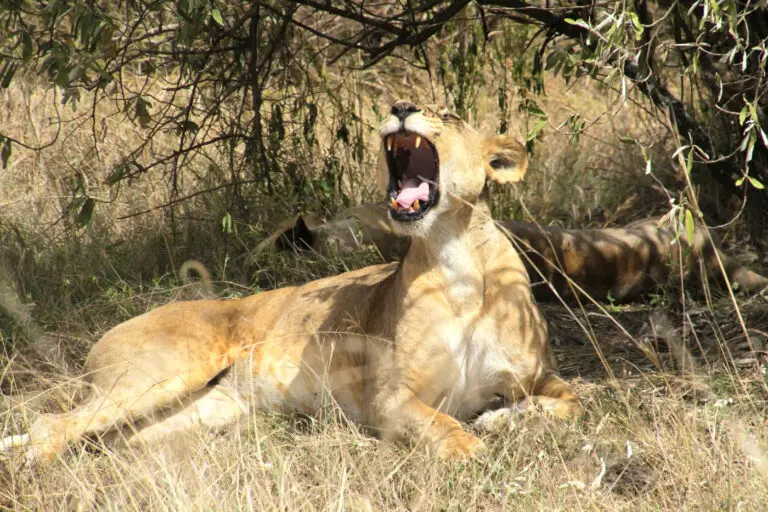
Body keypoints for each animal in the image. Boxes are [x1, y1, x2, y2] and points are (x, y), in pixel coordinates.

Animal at [1, 102, 578, 464]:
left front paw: (499, 421)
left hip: (193, 416)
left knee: (102, 440)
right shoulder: (390, 397)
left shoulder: (539, 375)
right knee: (53, 425)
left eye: (451, 116)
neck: (456, 256)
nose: (400, 105)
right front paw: (469, 447)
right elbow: (440, 424)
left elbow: (571, 403)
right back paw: (37, 468)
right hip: (159, 376)